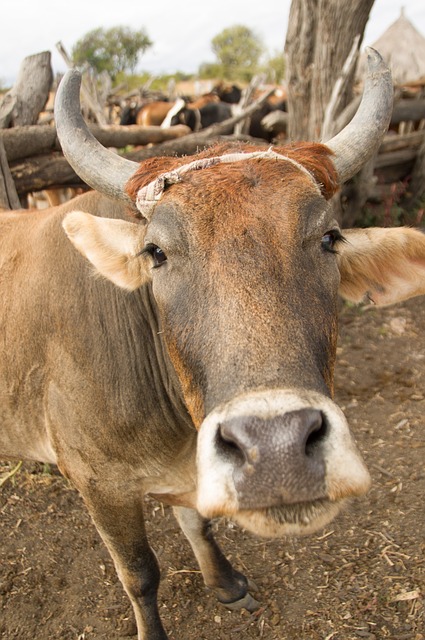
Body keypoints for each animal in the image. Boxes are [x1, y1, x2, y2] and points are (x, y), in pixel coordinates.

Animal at [0, 50, 424, 640]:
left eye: (329, 238)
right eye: (156, 252)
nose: (277, 451)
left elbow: (198, 523)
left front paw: (224, 583)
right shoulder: (96, 484)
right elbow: (140, 574)